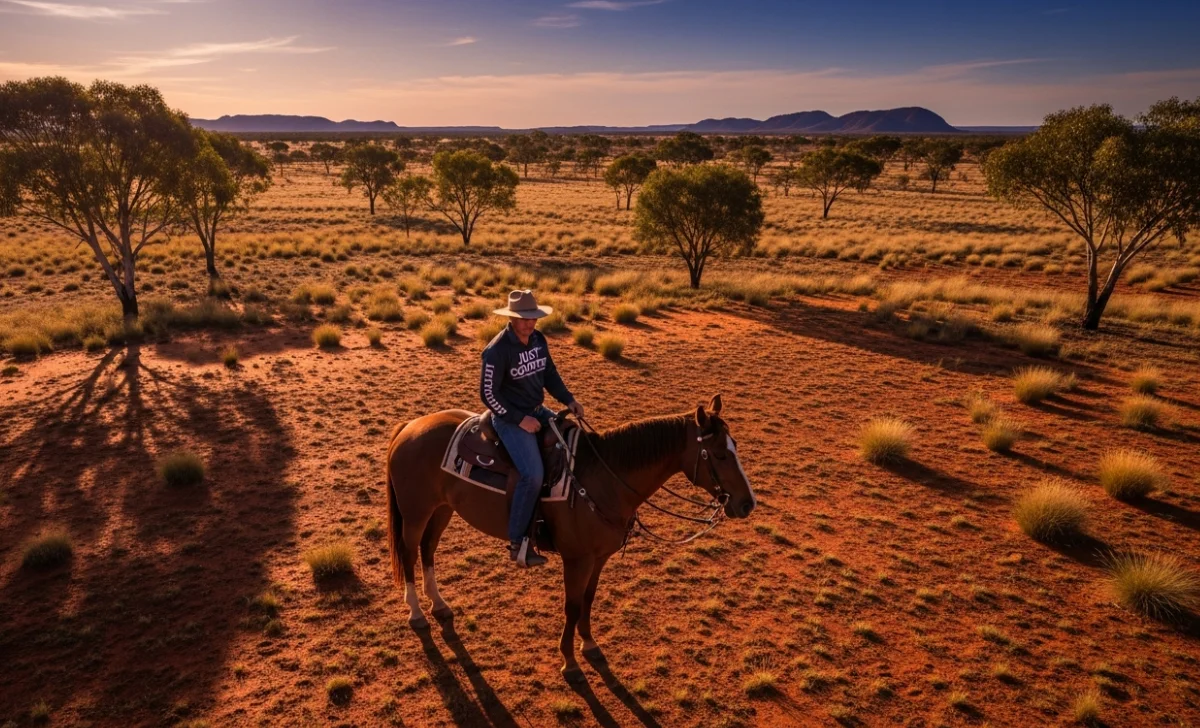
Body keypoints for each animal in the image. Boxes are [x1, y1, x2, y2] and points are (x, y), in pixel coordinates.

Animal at [385, 393, 756, 681]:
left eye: (735, 447)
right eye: (719, 454)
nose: (747, 503)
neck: (605, 478)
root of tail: (410, 426)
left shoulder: (599, 557)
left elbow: (588, 600)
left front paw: (589, 644)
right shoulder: (576, 560)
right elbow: (572, 605)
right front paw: (570, 662)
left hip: (442, 509)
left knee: (428, 548)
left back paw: (439, 604)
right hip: (416, 511)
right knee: (409, 551)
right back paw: (417, 613)